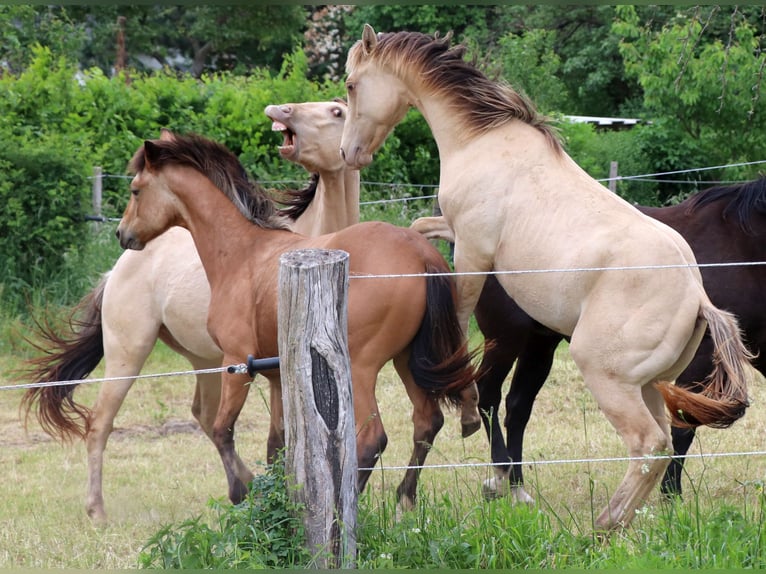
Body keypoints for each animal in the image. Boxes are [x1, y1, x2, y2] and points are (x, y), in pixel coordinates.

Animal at [340, 25, 756, 532]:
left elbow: (460, 318)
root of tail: (698, 298)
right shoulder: (455, 232)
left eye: (351, 85)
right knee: (659, 444)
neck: (483, 140)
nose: (349, 154)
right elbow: (421, 227)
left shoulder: (474, 250)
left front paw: (464, 413)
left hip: (606, 377)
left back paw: (601, 524)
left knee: (649, 446)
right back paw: (613, 524)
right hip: (648, 385)